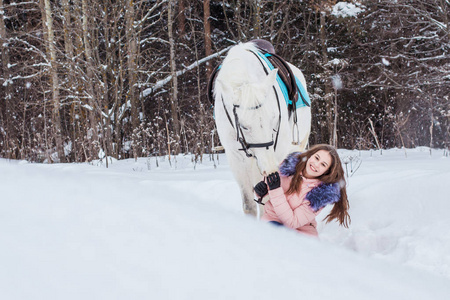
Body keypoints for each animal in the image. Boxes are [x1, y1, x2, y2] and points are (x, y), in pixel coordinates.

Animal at [213, 41, 312, 217]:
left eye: (273, 119)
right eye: (244, 126)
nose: (270, 166)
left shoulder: (275, 153)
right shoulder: (236, 159)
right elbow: (249, 204)